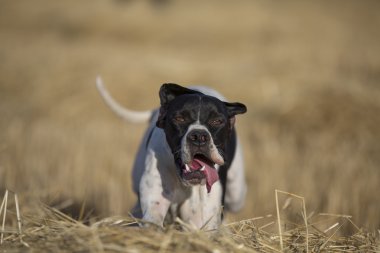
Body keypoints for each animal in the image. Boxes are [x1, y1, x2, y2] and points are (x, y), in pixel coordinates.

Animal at [96, 77, 248, 229]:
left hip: (236, 195)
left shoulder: (201, 220)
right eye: (179, 118)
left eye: (217, 121)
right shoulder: (154, 206)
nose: (199, 136)